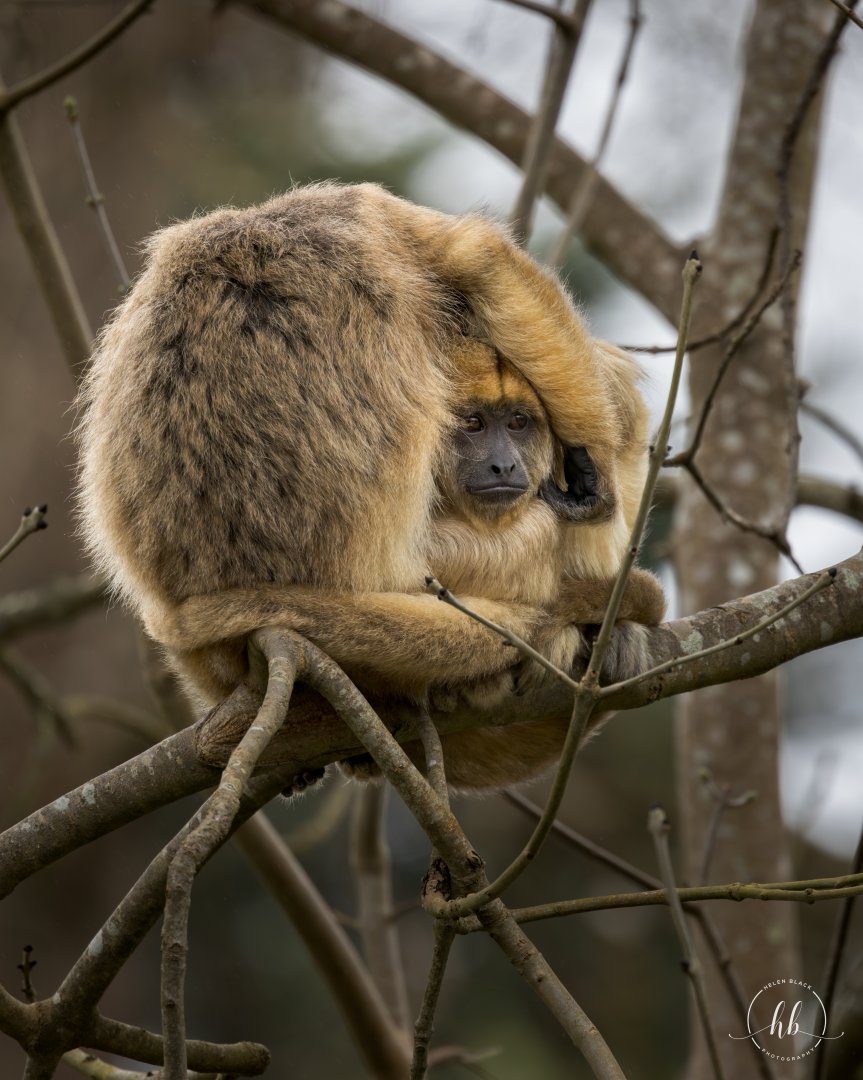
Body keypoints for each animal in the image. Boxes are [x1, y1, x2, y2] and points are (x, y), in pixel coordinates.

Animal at [76, 182, 664, 789]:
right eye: (474, 425)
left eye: (520, 424)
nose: (504, 465)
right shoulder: (369, 223)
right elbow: (477, 255)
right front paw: (594, 483)